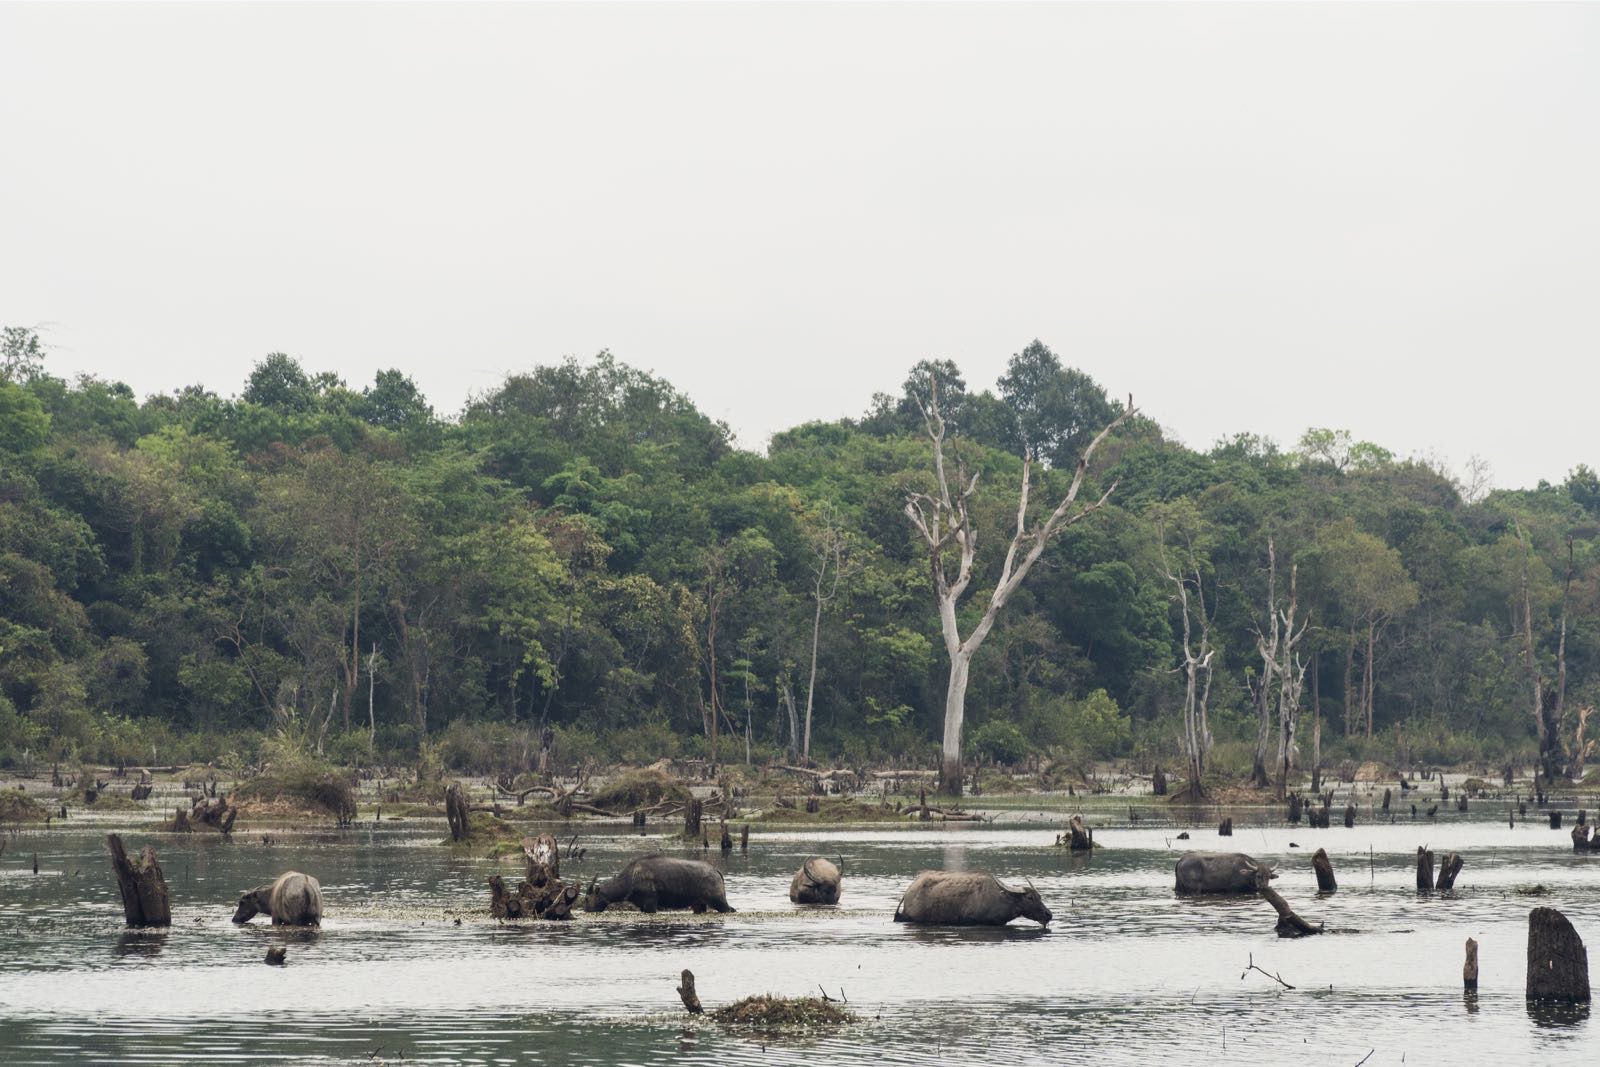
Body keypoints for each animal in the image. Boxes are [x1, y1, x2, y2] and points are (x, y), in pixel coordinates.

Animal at [585, 857, 732, 915]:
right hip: (698, 905)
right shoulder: (642, 907)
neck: (629, 880)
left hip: (719, 902)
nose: (586, 910)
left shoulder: (651, 904)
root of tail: (716, 871)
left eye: (586, 899)